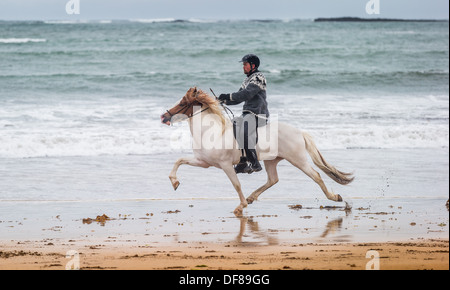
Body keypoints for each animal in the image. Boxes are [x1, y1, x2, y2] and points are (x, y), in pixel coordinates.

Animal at [160, 87, 354, 216]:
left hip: (298, 160)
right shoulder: (204, 162)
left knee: (316, 175)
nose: (164, 116)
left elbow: (236, 184)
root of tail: (299, 132)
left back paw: (335, 197)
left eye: (183, 102)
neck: (212, 132)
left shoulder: (225, 165)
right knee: (273, 179)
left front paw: (241, 206)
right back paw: (252, 197)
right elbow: (179, 160)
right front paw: (174, 182)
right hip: (271, 161)